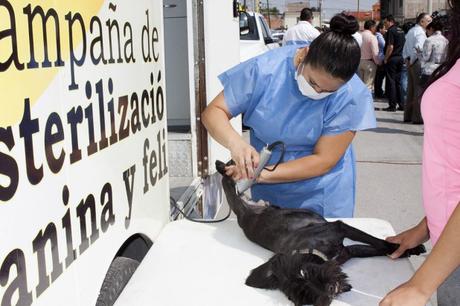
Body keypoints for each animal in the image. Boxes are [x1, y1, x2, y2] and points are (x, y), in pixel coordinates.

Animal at [214, 160, 426, 306]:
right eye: (300, 299)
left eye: (304, 272)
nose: (329, 295)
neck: (313, 249)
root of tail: (245, 213)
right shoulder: (350, 251)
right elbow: (375, 249)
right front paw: (404, 250)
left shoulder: (341, 228)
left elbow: (380, 244)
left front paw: (405, 248)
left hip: (236, 199)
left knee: (229, 179)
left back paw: (223, 165)